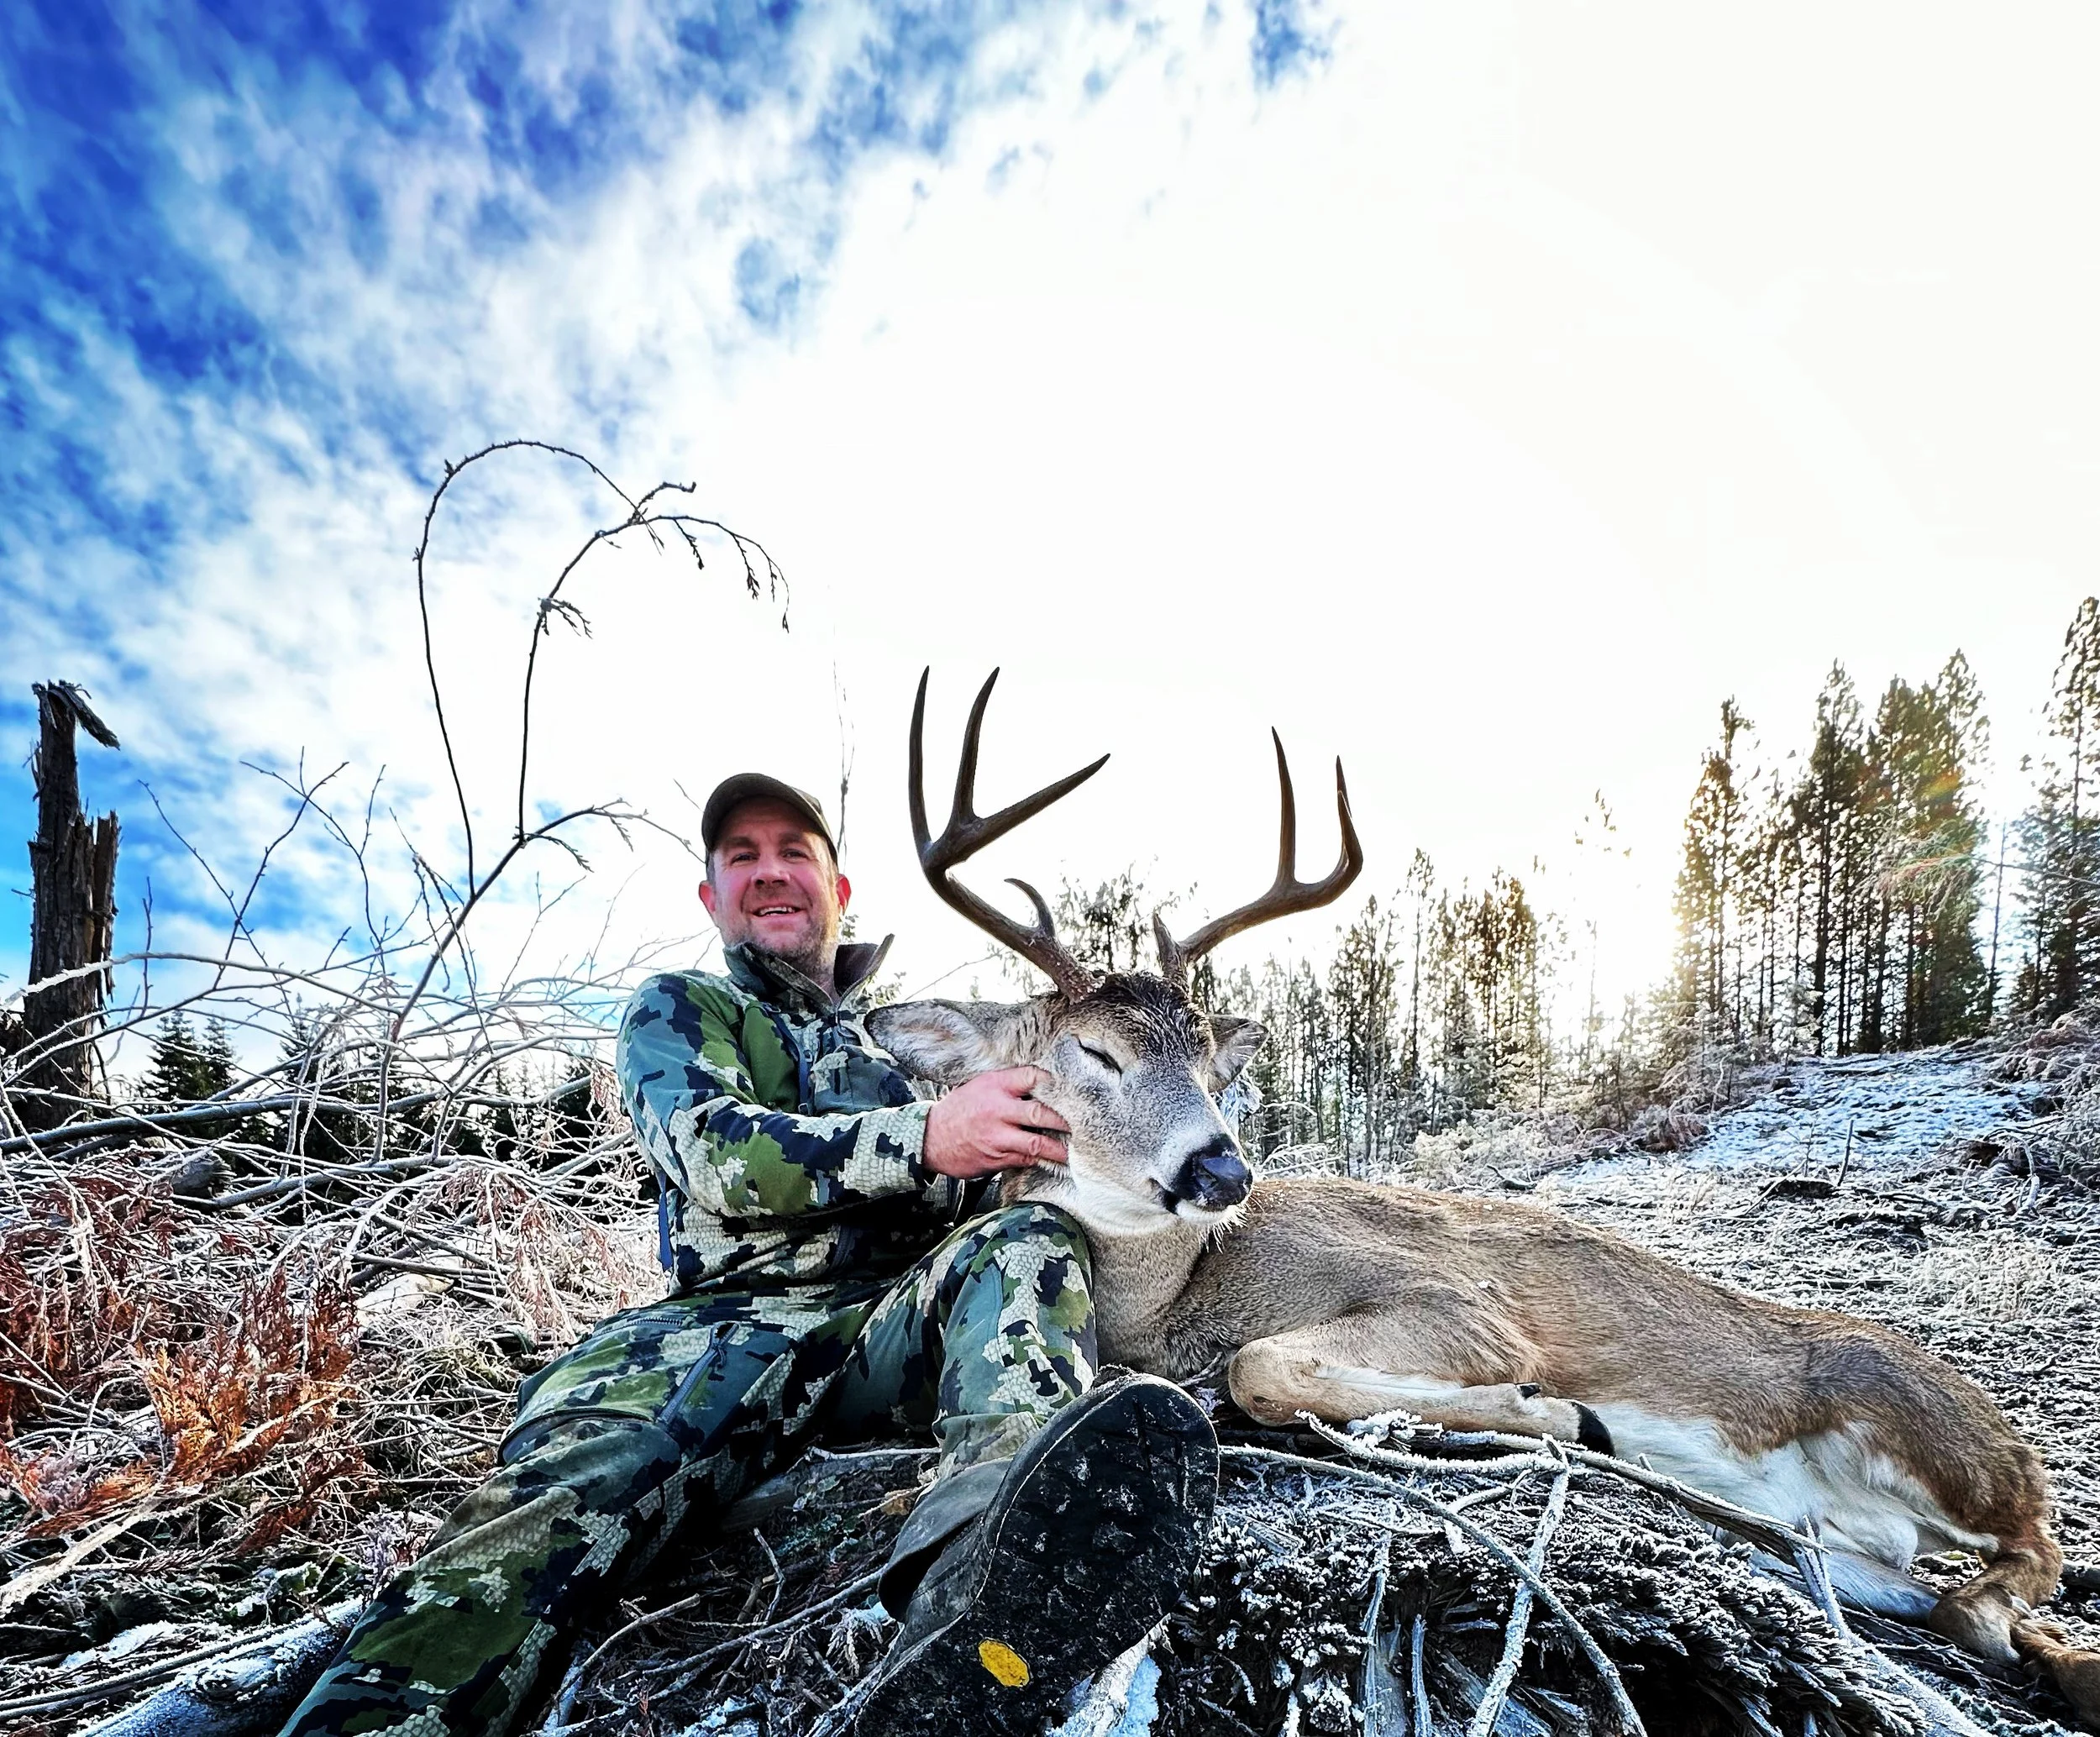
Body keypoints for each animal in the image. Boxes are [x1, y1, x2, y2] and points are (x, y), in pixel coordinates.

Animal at [868, 670, 2100, 1728]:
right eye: (1094, 1055)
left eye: (1217, 1061)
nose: (1222, 1171)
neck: (1184, 1295)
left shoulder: (1464, 1303)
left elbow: (1265, 1363)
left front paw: (1549, 1413)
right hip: (1859, 1533)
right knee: (1911, 1574)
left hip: (1914, 1411)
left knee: (2034, 1544)